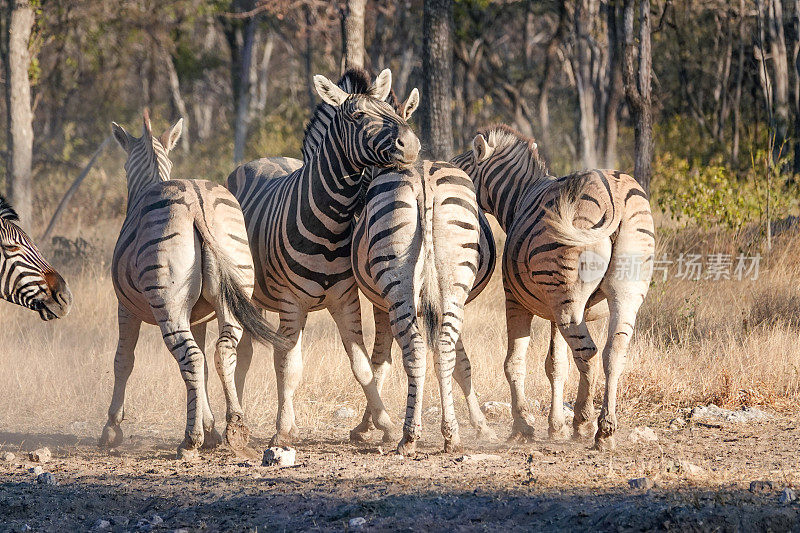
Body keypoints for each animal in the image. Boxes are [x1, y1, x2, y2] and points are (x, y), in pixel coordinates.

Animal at [100, 111, 288, 458]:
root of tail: (195, 202)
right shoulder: (199, 315)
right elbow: (202, 370)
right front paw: (211, 426)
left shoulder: (125, 308)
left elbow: (123, 360)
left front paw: (111, 428)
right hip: (233, 289)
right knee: (220, 352)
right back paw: (235, 427)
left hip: (168, 304)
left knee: (191, 356)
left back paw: (190, 440)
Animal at [227, 69, 422, 444]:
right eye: (358, 115)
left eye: (389, 110)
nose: (412, 145)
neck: (331, 222)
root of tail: (260, 160)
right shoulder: (291, 302)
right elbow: (288, 367)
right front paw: (281, 432)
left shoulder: (345, 300)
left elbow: (361, 366)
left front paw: (385, 424)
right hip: (250, 294)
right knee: (243, 353)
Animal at [352, 150, 500, 454]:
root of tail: (425, 178)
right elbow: (462, 364)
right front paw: (481, 425)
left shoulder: (380, 306)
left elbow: (378, 363)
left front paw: (368, 425)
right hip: (454, 278)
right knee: (442, 348)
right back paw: (449, 435)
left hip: (395, 283)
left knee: (415, 349)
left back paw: (409, 436)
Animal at [454, 124, 652, 448]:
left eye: (461, 168)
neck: (520, 198)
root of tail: (615, 195)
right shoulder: (553, 309)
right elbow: (556, 365)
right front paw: (555, 425)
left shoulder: (515, 299)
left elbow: (514, 362)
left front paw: (523, 426)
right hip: (618, 293)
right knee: (613, 351)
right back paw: (606, 428)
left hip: (568, 300)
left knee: (588, 354)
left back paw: (585, 422)